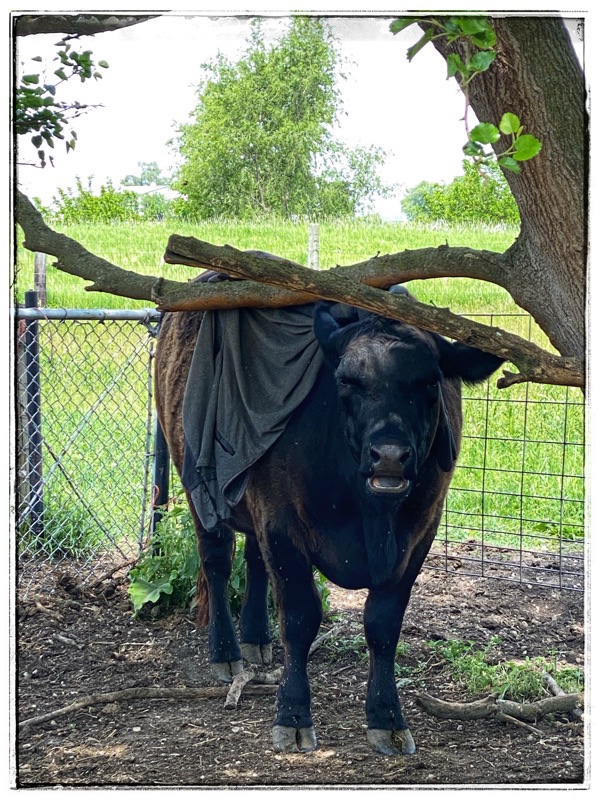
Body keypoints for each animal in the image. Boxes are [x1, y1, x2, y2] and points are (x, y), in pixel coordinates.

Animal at [154, 286, 503, 756]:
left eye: (430, 382)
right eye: (345, 381)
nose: (389, 455)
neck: (368, 513)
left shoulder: (419, 533)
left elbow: (383, 624)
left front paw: (388, 719)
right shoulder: (283, 525)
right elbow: (300, 619)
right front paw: (293, 716)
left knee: (254, 563)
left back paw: (256, 639)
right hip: (197, 483)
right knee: (217, 561)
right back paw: (226, 652)